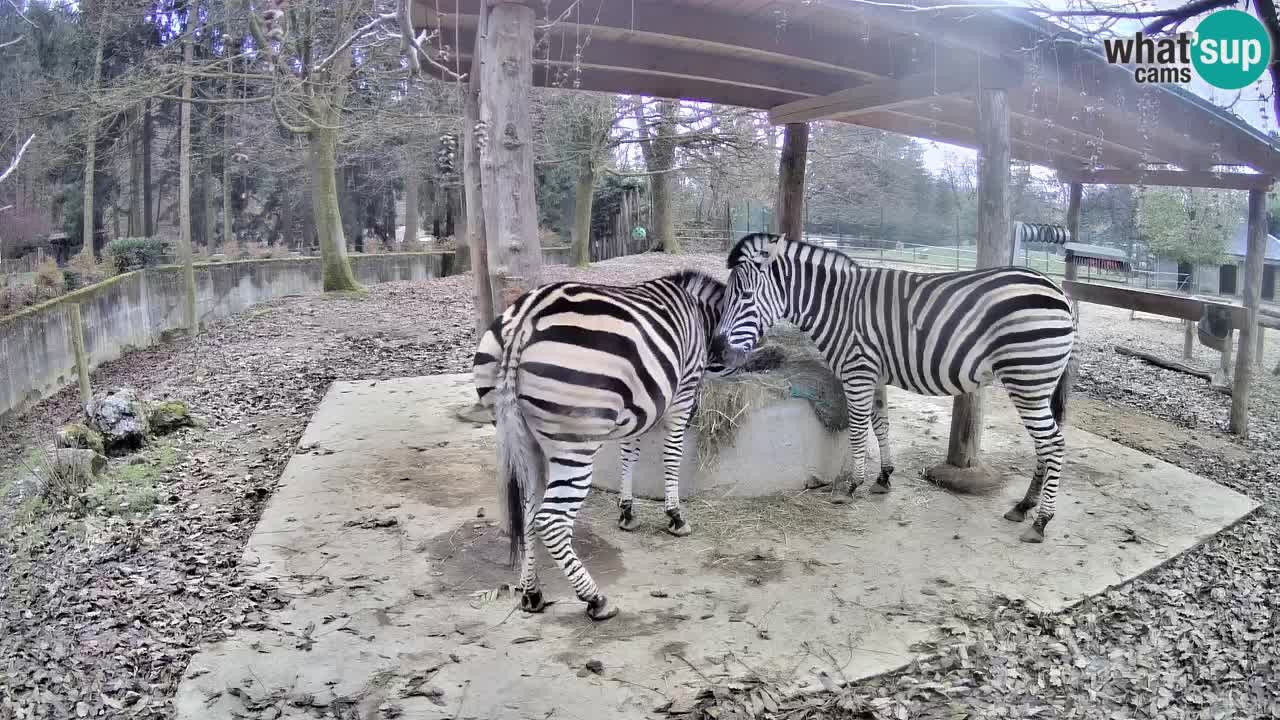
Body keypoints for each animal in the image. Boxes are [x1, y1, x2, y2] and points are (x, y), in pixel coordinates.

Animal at [473, 269, 737, 617]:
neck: (698, 312)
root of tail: (523, 322)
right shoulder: (682, 393)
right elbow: (672, 454)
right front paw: (675, 516)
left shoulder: (639, 403)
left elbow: (630, 452)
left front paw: (627, 511)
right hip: (575, 443)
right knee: (551, 520)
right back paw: (595, 599)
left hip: (518, 435)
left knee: (529, 511)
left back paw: (532, 593)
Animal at [711, 233, 1080, 540]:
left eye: (744, 295)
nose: (716, 348)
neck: (838, 307)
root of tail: (1059, 291)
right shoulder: (873, 374)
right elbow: (881, 424)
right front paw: (883, 478)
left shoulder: (857, 370)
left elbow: (859, 429)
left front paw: (851, 486)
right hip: (1037, 384)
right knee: (1045, 444)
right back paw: (1023, 506)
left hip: (1027, 379)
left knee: (1054, 444)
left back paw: (1041, 521)